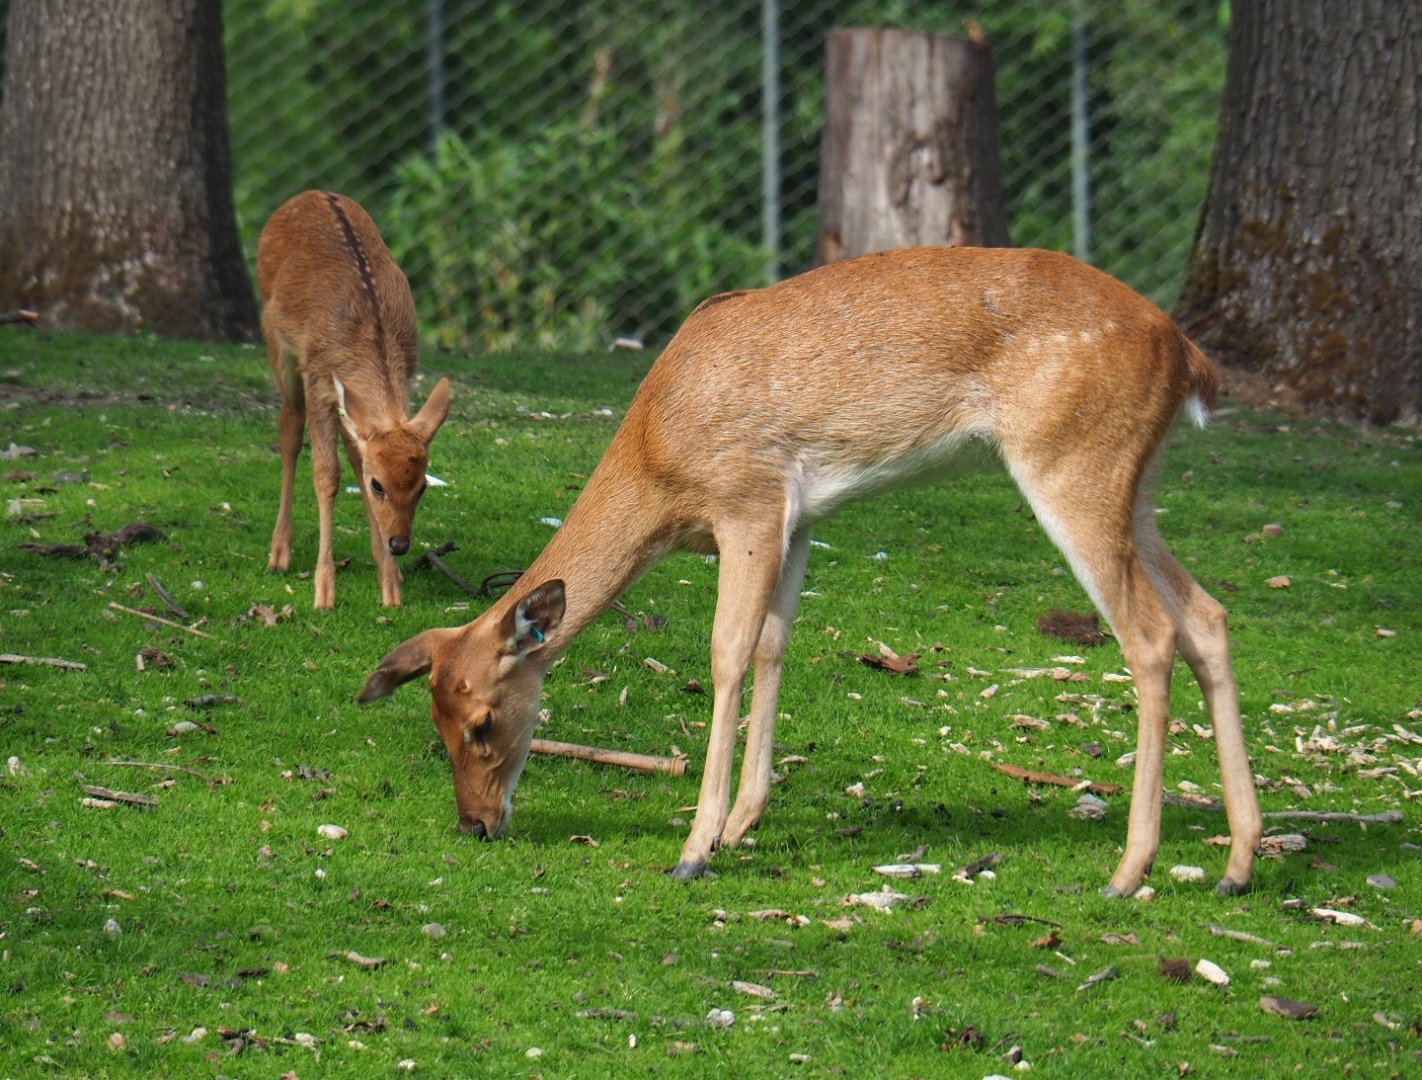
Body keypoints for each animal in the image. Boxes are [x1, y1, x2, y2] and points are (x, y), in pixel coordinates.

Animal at [257, 190, 451, 609]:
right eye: (379, 485)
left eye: (422, 486)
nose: (400, 544)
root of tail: (310, 193)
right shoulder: (317, 379)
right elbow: (326, 476)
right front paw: (324, 593)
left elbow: (355, 461)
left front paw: (391, 587)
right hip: (278, 344)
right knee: (289, 429)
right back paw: (279, 555)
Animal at [357, 246, 1263, 898]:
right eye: (434, 720)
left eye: (481, 723)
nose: (476, 824)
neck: (660, 469)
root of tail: (1189, 359)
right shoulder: (797, 521)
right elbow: (773, 645)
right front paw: (739, 825)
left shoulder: (749, 497)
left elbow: (727, 650)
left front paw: (696, 848)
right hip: (1132, 486)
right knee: (1208, 615)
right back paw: (1236, 866)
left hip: (1074, 460)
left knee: (1150, 635)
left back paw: (1127, 873)